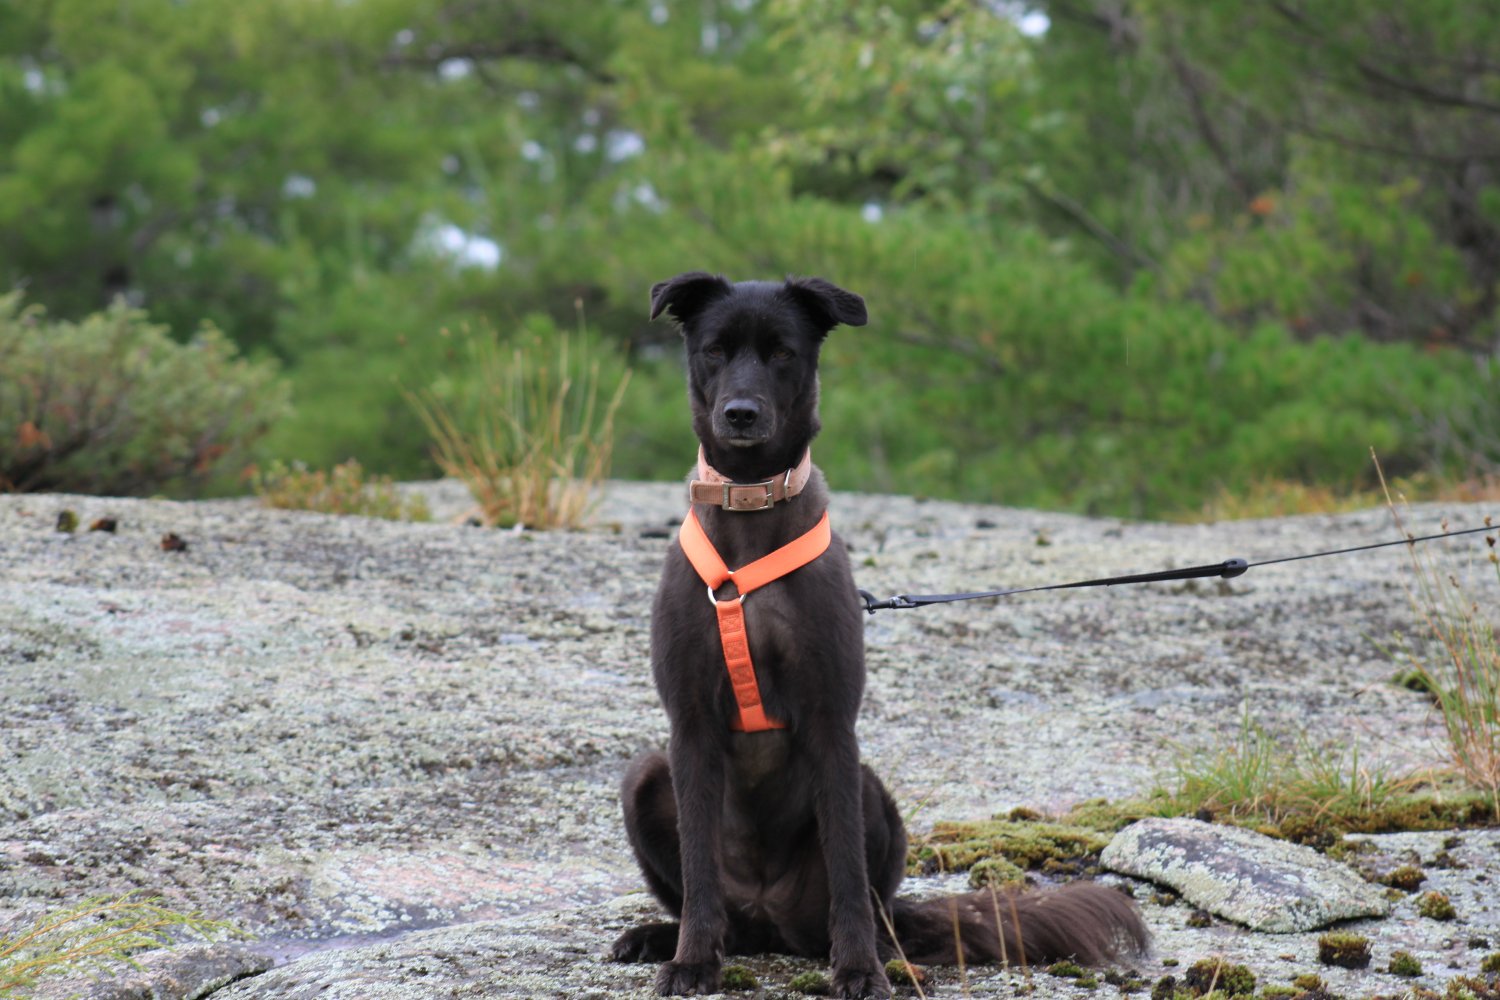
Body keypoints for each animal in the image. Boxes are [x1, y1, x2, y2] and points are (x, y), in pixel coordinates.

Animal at [610, 272, 1148, 999]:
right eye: (715, 350)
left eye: (783, 354)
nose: (742, 414)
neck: (750, 514)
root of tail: (767, 912)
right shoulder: (690, 725)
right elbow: (698, 868)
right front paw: (692, 962)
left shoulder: (832, 724)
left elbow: (844, 866)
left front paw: (859, 969)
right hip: (646, 775)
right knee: (726, 913)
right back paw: (662, 936)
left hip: (870, 792)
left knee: (865, 902)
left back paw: (880, 951)